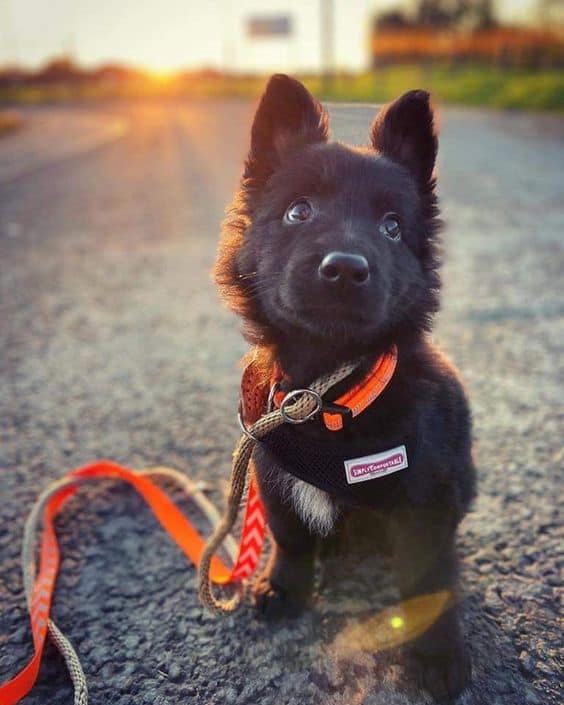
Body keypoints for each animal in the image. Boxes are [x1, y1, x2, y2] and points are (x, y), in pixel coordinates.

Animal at [216, 74, 476, 700]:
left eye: (392, 227)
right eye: (298, 211)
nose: (345, 269)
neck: (327, 396)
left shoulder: (427, 501)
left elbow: (429, 580)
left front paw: (437, 655)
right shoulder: (273, 475)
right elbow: (288, 537)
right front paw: (283, 588)